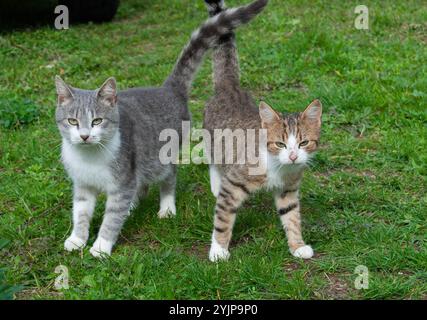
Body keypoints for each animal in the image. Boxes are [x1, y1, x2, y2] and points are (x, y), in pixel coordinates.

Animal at [55, 0, 270, 256]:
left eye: (97, 121)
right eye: (73, 121)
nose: (85, 136)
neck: (88, 157)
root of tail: (168, 88)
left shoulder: (122, 182)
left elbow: (112, 217)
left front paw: (101, 247)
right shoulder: (82, 185)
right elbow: (81, 213)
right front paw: (77, 238)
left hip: (161, 158)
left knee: (168, 179)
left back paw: (166, 208)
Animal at [203, 0, 320, 262]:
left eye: (303, 143)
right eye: (280, 144)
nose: (293, 156)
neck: (277, 167)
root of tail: (229, 86)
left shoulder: (289, 189)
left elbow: (292, 216)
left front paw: (297, 245)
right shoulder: (233, 185)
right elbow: (223, 219)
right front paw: (218, 250)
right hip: (211, 138)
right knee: (212, 158)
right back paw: (215, 183)